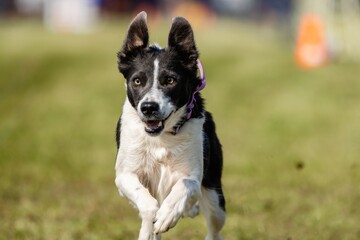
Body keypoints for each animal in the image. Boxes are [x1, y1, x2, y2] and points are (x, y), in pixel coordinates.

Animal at [114, 11, 225, 240]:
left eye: (170, 80)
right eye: (137, 81)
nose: (148, 107)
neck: (161, 137)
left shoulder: (193, 175)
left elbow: (185, 185)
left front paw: (168, 214)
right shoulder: (124, 175)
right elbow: (148, 204)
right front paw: (150, 229)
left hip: (215, 197)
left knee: (214, 227)